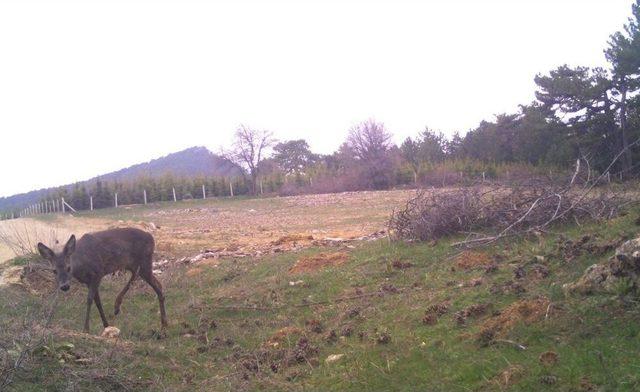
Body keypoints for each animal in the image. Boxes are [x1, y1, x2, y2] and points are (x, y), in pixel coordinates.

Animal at [36, 227, 168, 334]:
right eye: (54, 271)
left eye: (69, 268)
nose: (64, 286)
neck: (81, 264)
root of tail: (151, 237)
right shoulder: (89, 282)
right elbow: (97, 302)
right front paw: (106, 325)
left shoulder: (97, 273)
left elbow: (89, 300)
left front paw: (86, 329)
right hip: (134, 265)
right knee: (145, 279)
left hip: (144, 262)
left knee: (156, 285)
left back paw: (164, 325)